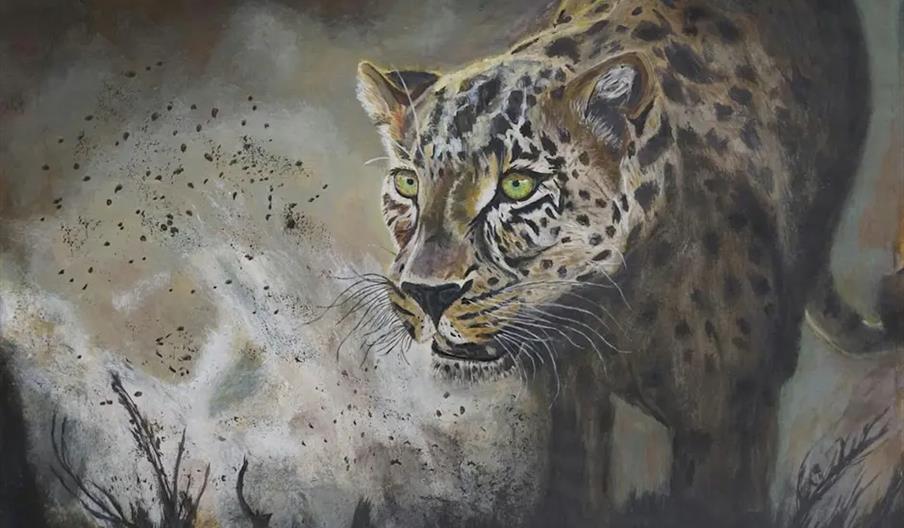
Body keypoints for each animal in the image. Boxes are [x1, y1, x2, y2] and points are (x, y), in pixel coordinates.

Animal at [355, 0, 897, 521]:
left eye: (517, 185)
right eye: (407, 184)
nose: (428, 294)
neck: (613, 306)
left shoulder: (720, 421)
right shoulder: (572, 401)